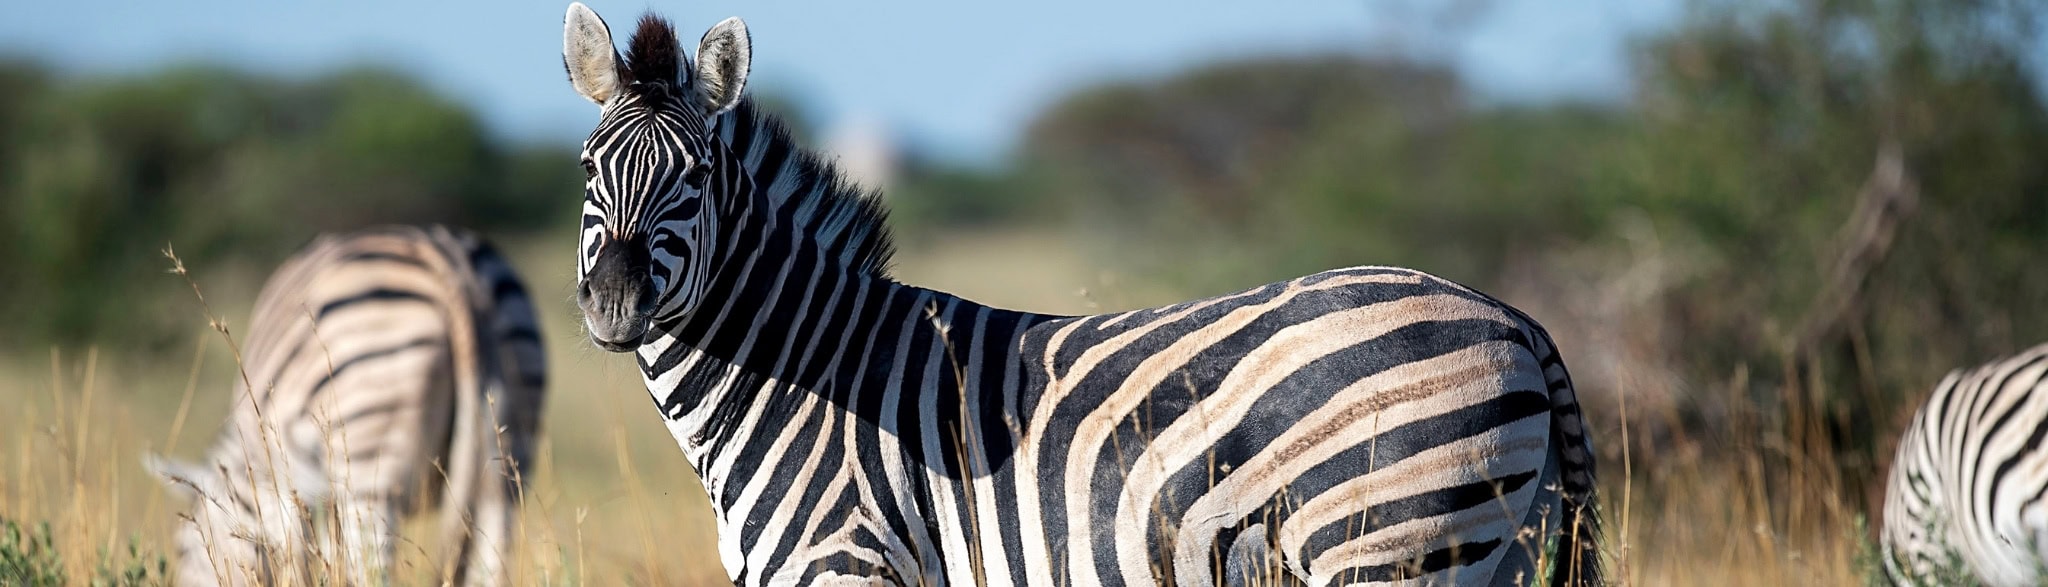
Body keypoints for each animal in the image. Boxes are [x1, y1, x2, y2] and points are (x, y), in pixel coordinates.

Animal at [146, 224, 548, 586]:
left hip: (370, 465)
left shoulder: (287, 483)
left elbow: (300, 560)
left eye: (183, 550)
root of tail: (453, 268)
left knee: (374, 570)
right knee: (492, 559)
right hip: (509, 462)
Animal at [560, 5, 1601, 585]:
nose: (612, 305)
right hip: (1501, 547)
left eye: (695, 176)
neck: (798, 377)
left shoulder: (850, 561)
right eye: (586, 168)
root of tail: (1510, 314)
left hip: (1389, 542)